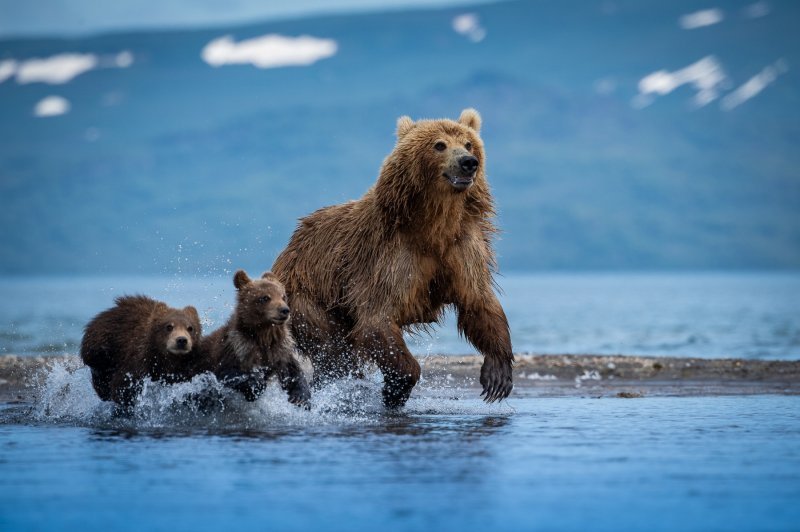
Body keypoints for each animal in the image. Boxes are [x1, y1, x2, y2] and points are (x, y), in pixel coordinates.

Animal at [198, 270, 310, 408]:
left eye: (283, 296)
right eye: (265, 297)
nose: (284, 310)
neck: (263, 336)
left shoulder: (279, 350)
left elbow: (292, 372)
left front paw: (300, 397)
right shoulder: (237, 348)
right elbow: (228, 373)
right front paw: (256, 386)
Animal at [274, 108, 512, 408]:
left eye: (469, 143)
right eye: (440, 145)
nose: (469, 163)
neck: (434, 226)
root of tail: (290, 245)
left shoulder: (462, 248)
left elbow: (478, 301)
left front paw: (497, 374)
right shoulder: (390, 257)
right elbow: (377, 318)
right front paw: (395, 388)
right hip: (306, 295)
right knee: (332, 349)